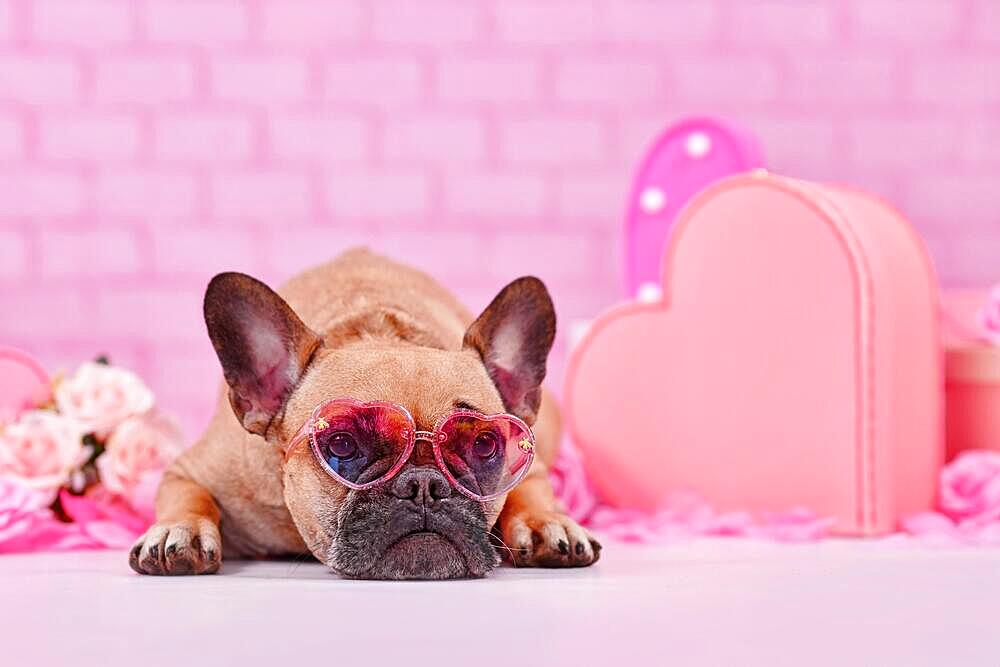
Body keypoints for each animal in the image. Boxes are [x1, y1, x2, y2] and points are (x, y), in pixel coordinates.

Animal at [128, 250, 596, 580]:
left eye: (483, 446)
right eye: (341, 444)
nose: (424, 485)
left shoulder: (526, 461)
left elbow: (530, 489)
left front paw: (545, 522)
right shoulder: (193, 470)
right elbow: (188, 496)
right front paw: (179, 530)